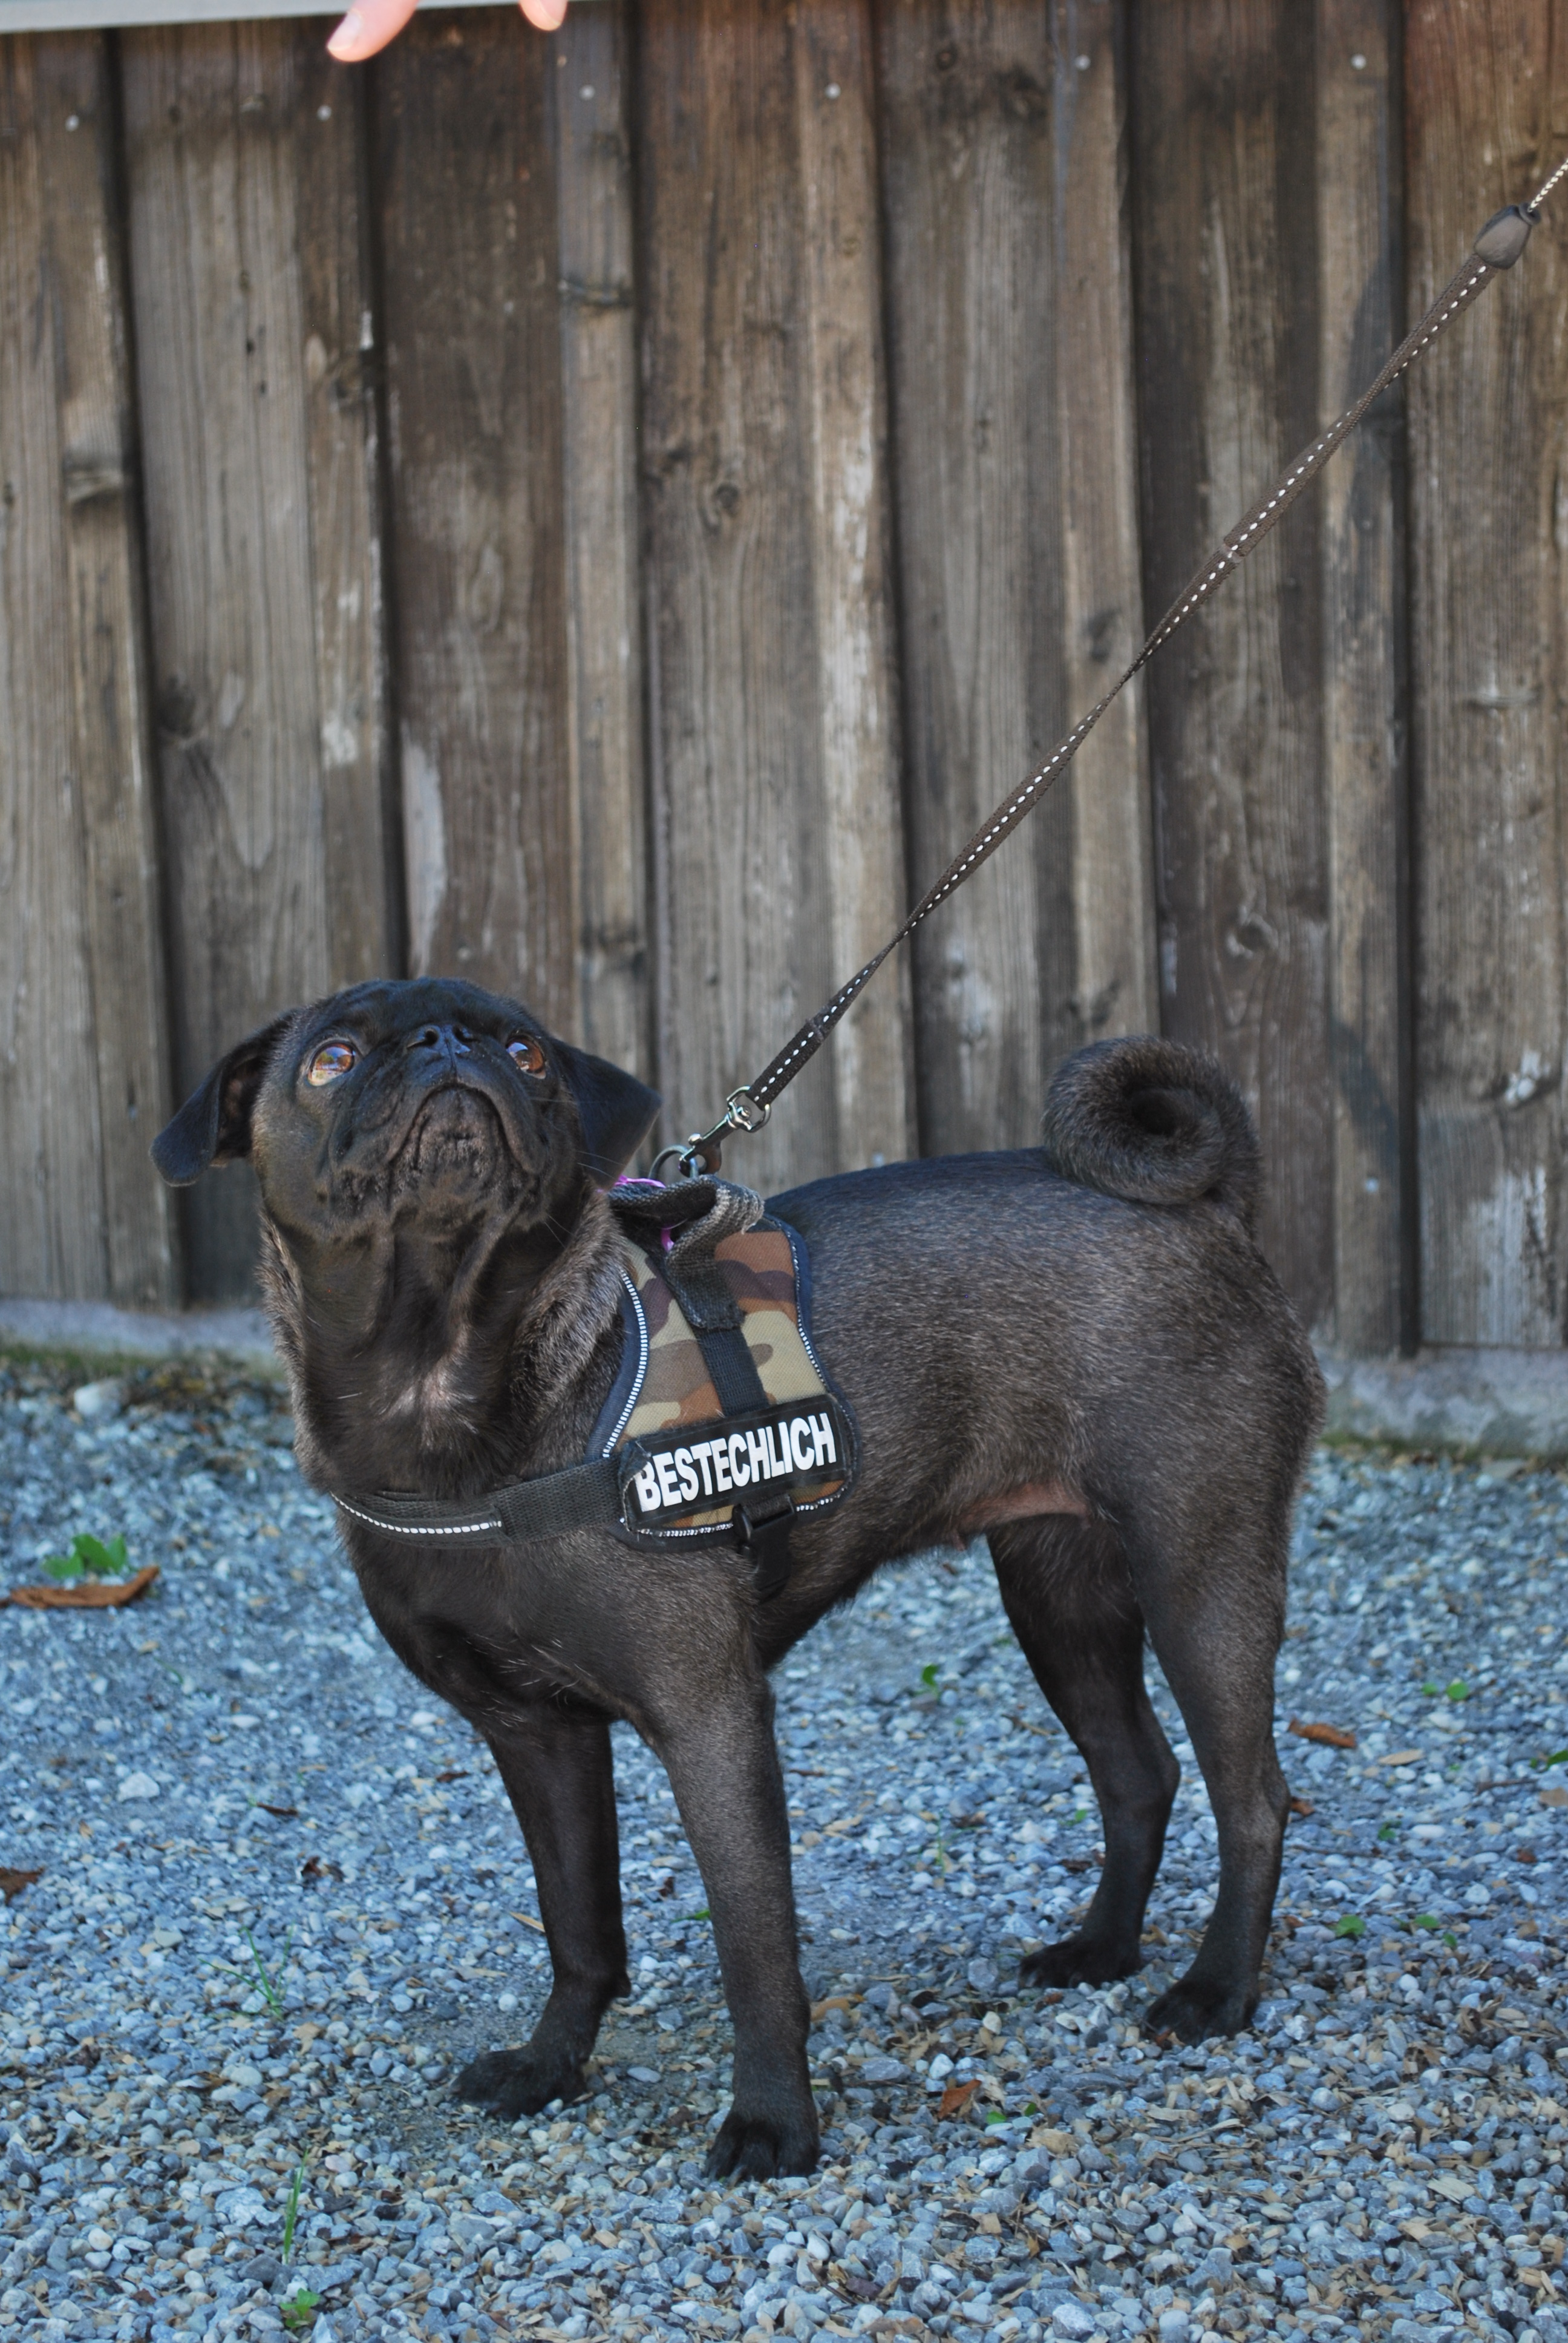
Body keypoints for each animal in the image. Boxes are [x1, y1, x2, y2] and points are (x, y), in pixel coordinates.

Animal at [152, 974, 1322, 2174]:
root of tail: (1206, 1205)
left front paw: (772, 2123)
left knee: (1252, 1797)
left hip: (1197, 1569)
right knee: (1138, 1773)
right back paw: (1100, 1949)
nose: (446, 1043)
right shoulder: (537, 1737)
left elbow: (753, 1947)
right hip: (1061, 1600)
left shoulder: (710, 1718)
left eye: (526, 1051)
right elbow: (579, 1924)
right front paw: (551, 2065)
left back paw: (1216, 1989)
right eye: (332, 1059)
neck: (445, 1381)